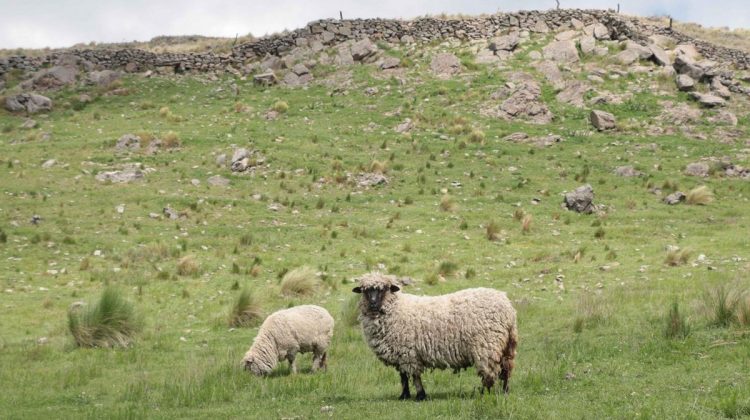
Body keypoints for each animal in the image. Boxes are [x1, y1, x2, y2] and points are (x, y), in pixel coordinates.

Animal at [354, 272, 520, 400]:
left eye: (384, 289)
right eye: (365, 290)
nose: (373, 303)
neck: (396, 308)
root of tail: (507, 306)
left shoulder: (408, 353)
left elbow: (414, 376)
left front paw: (420, 395)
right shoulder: (400, 354)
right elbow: (403, 377)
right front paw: (404, 396)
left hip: (487, 346)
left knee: (490, 372)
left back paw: (485, 393)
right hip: (506, 345)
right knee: (506, 368)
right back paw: (505, 392)